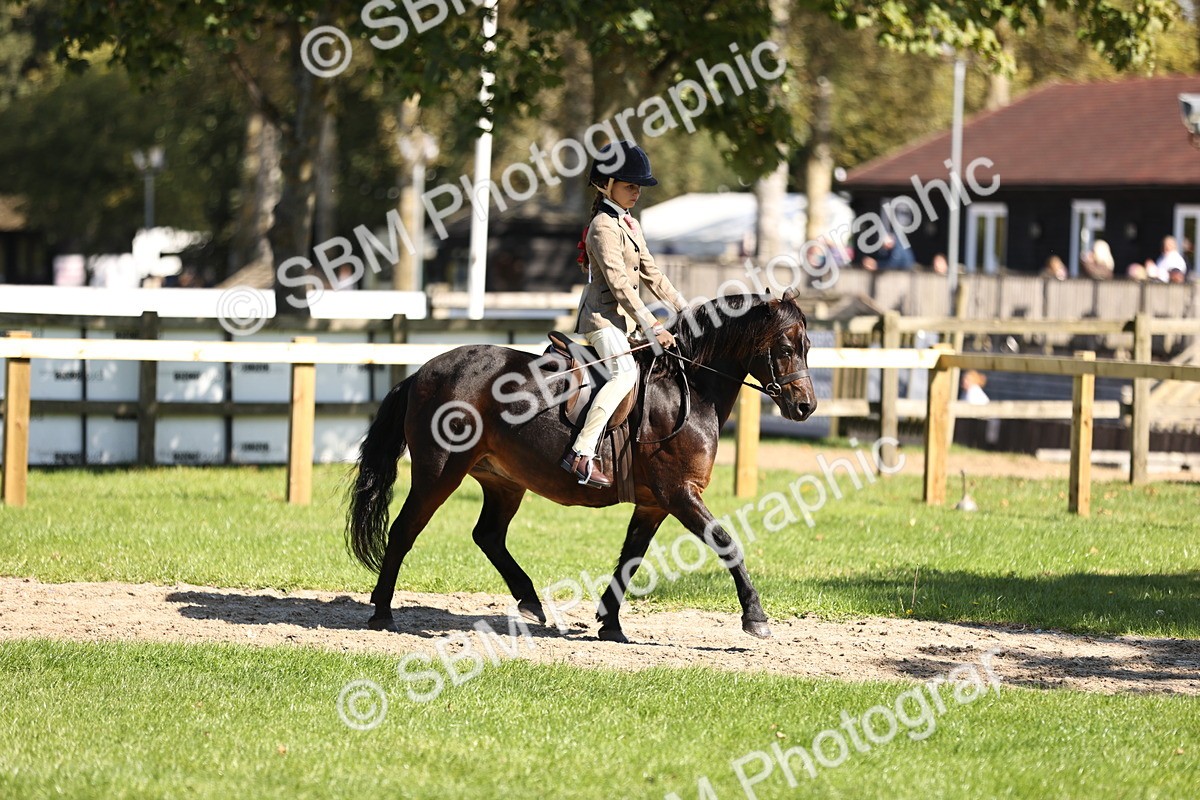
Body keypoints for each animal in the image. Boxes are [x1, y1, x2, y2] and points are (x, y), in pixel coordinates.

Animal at [345, 290, 816, 642]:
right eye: (786, 348)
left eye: (807, 348)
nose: (806, 407)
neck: (688, 386)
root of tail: (423, 371)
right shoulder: (680, 494)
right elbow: (727, 543)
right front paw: (755, 618)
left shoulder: (654, 504)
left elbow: (631, 558)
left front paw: (610, 623)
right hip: (440, 471)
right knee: (404, 530)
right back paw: (383, 613)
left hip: (503, 481)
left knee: (488, 535)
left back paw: (530, 601)